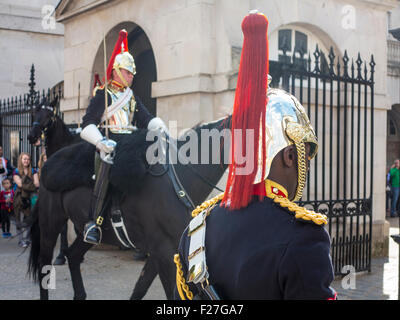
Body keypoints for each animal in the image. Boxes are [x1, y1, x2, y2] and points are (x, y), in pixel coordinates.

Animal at [27, 114, 231, 298]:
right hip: (50, 223)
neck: (179, 180)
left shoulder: (161, 252)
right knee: (44, 265)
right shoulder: (162, 250)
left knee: (74, 255)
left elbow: (140, 288)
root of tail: (49, 161)